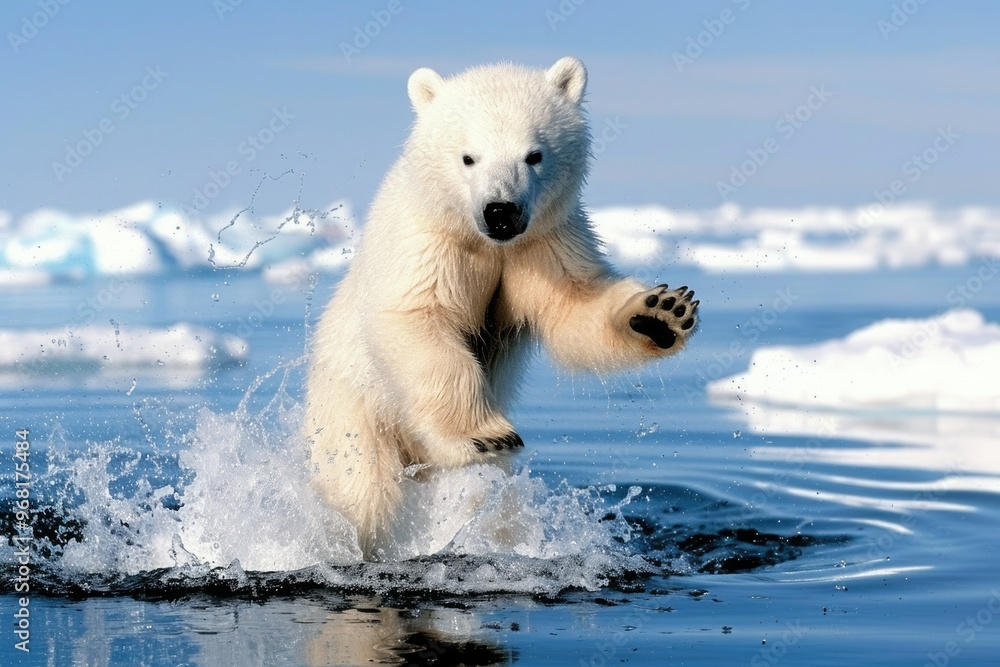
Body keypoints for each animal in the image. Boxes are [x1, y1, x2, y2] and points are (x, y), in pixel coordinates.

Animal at [304, 57, 697, 558]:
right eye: (468, 157)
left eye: (534, 155)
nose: (501, 211)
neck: (485, 241)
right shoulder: (428, 242)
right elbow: (417, 317)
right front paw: (486, 434)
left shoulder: (545, 243)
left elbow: (576, 305)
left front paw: (660, 314)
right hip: (353, 411)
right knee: (360, 490)